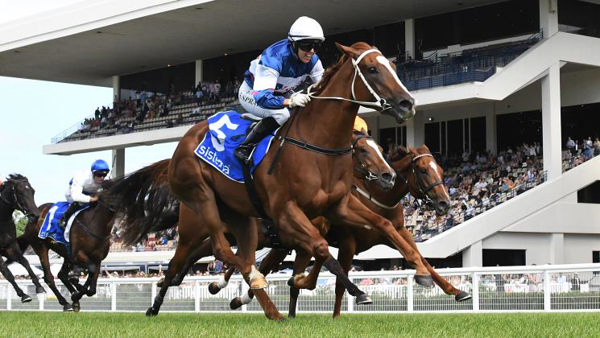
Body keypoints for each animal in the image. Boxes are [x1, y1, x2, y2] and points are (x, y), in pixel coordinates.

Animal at [0, 174, 44, 302]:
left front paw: (39, 287)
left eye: (33, 191)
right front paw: (23, 294)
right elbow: (7, 272)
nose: (35, 215)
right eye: (20, 192)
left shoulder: (10, 248)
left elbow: (25, 262)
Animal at [155, 41, 414, 320]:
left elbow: (382, 224)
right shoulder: (286, 213)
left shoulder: (338, 206)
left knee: (228, 255)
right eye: (372, 68)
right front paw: (357, 291)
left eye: (394, 67)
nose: (407, 103)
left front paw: (420, 266)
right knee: (215, 252)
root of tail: (186, 137)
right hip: (199, 205)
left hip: (241, 220)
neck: (317, 145)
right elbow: (321, 248)